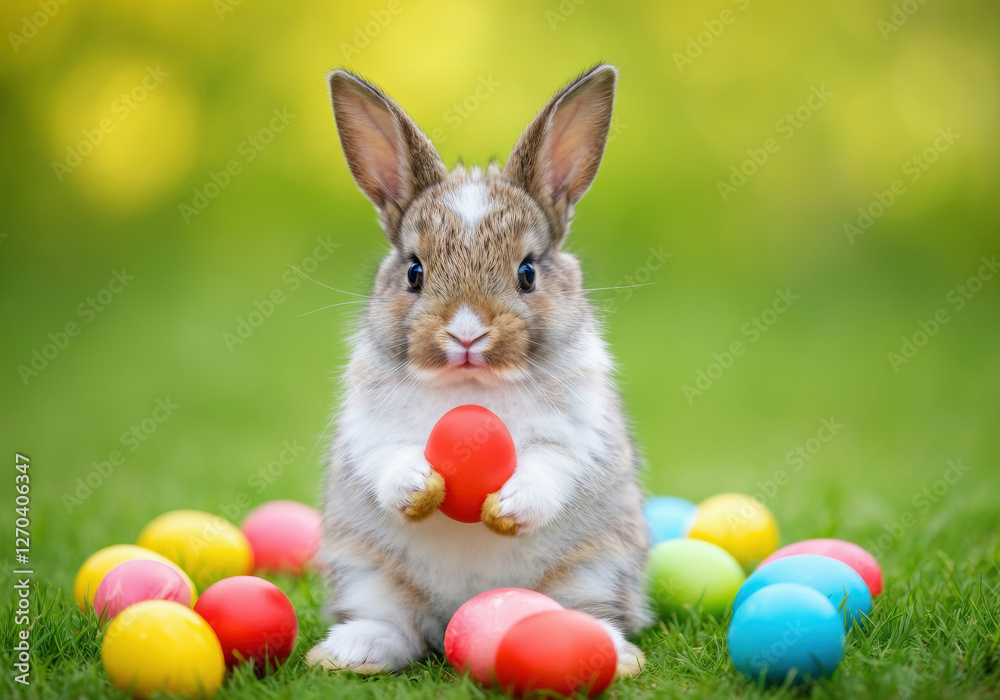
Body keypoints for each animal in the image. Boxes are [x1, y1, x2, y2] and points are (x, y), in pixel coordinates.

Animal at [306, 63, 651, 679]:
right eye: (415, 271)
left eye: (527, 273)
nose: (466, 334)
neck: (471, 384)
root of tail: (453, 614)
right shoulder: (370, 433)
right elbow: (388, 458)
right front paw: (417, 486)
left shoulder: (575, 437)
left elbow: (549, 466)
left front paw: (509, 506)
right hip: (367, 572)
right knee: (397, 628)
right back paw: (350, 653)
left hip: (594, 568)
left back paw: (610, 651)